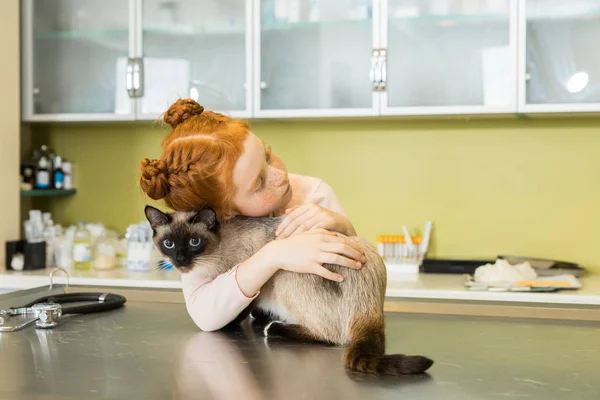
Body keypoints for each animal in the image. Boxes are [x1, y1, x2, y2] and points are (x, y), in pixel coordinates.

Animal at [145, 206, 436, 376]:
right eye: (169, 244)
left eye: (194, 241)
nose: (180, 260)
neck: (216, 247)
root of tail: (372, 304)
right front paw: (259, 316)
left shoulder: (247, 278)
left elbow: (239, 311)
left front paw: (240, 322)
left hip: (286, 274)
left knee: (333, 337)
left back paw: (273, 329)